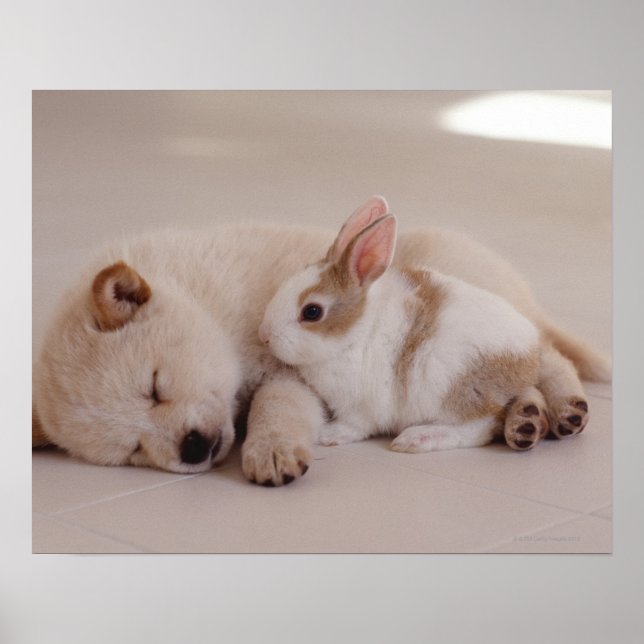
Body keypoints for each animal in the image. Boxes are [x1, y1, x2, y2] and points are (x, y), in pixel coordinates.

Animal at [260, 208, 579, 453]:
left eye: (312, 312)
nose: (264, 335)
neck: (355, 333)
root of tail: (529, 356)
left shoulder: (361, 407)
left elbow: (355, 425)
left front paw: (329, 435)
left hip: (451, 390)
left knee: (478, 429)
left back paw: (417, 439)